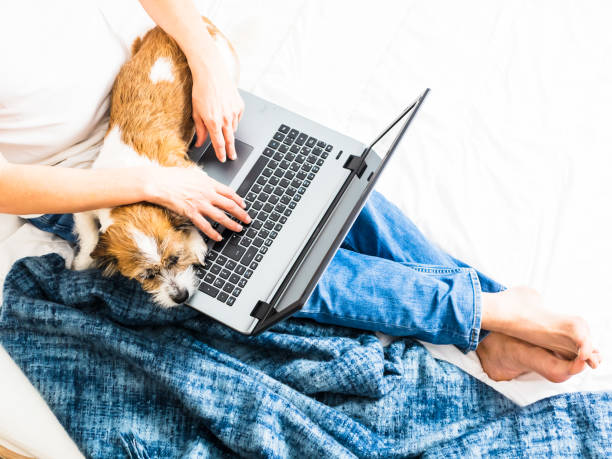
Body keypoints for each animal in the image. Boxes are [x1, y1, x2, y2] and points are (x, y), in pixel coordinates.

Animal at [74, 18, 239, 308]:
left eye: (175, 258)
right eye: (147, 275)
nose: (181, 297)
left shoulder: (188, 176)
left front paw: (196, 243)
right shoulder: (87, 202)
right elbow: (89, 234)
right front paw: (83, 260)